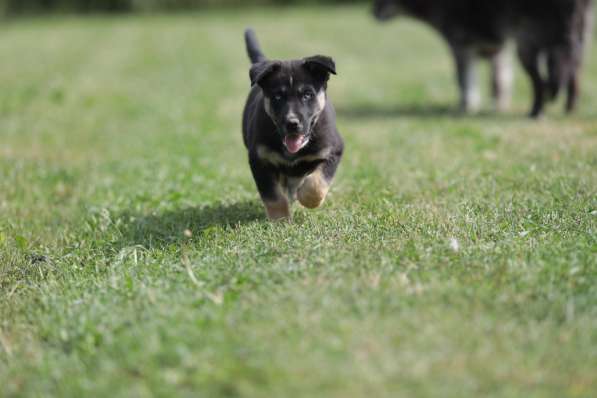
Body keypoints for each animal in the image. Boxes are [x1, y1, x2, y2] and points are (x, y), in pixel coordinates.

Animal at [242, 28, 344, 221]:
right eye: (277, 97)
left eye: (307, 95)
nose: (292, 123)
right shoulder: (259, 159)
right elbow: (273, 195)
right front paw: (280, 220)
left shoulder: (333, 150)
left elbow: (317, 183)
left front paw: (306, 198)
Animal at [372, 0, 592, 117]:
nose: (372, 12)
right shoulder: (498, 49)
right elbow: (499, 82)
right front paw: (498, 106)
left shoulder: (461, 45)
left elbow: (465, 81)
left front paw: (466, 107)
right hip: (579, 34)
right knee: (574, 69)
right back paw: (570, 108)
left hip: (530, 40)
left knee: (543, 80)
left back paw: (536, 112)